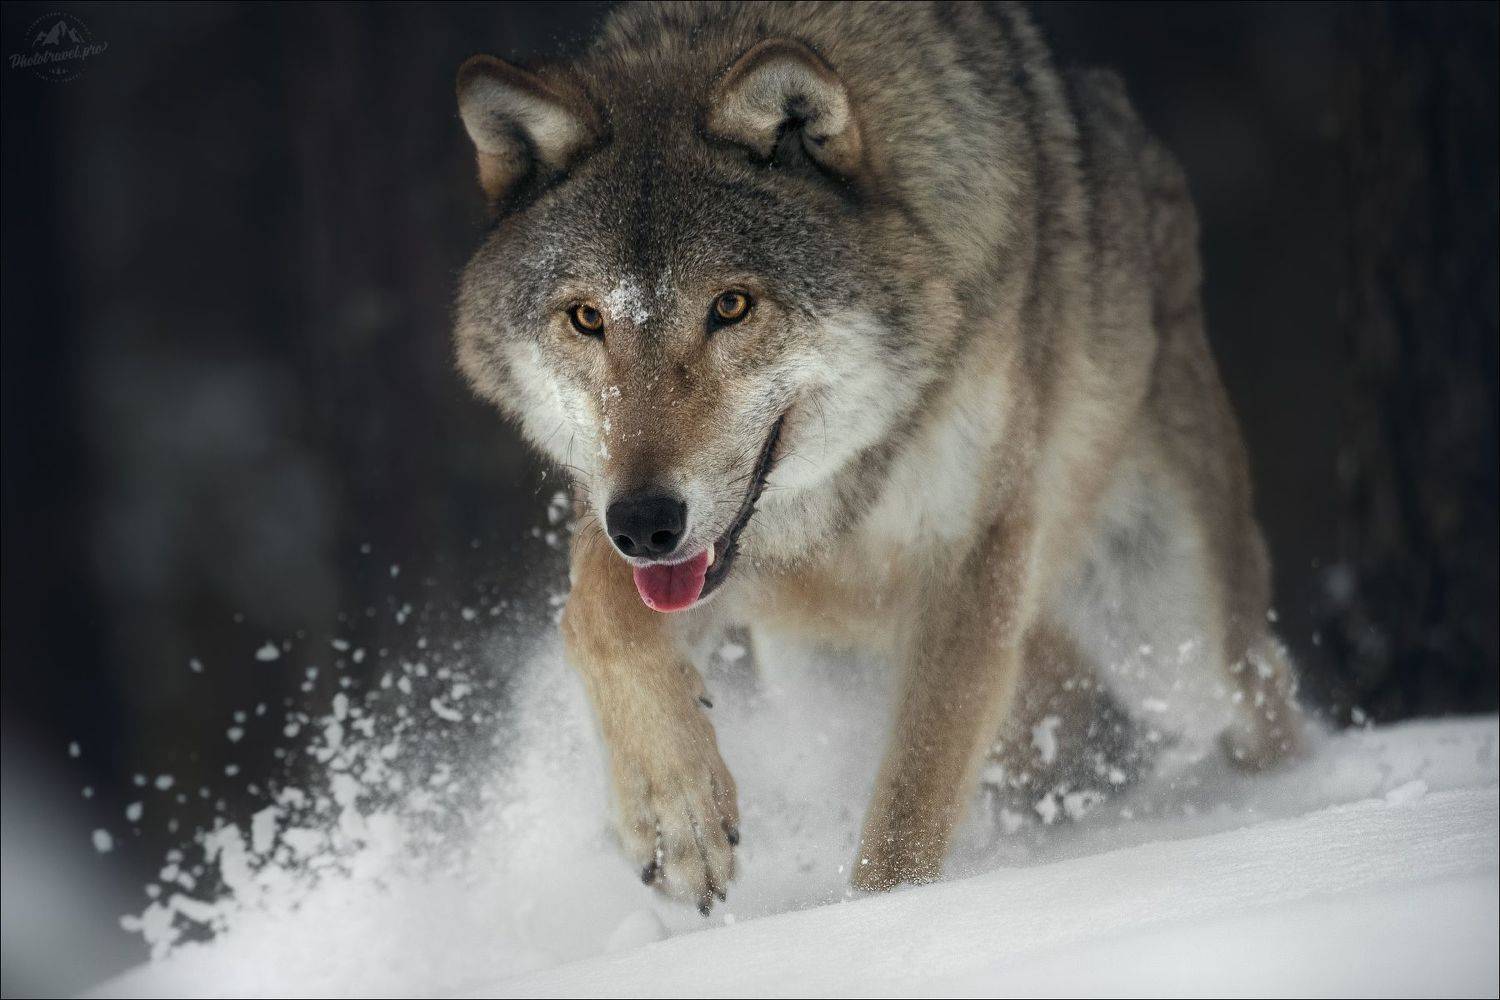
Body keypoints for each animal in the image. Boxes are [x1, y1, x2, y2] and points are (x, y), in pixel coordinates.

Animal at [453, 1, 1302, 912]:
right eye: (586, 318)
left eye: (731, 306)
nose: (645, 524)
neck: (846, 493)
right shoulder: (637, 529)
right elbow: (599, 620)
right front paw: (676, 821)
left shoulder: (973, 552)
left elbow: (914, 792)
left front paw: (885, 918)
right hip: (820, 681)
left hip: (1174, 645)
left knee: (1262, 698)